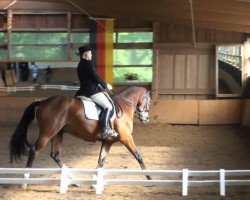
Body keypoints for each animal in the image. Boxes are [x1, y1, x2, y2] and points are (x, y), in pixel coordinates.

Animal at [9, 85, 152, 180]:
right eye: (149, 101)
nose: (146, 119)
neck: (124, 105)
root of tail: (43, 101)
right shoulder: (126, 138)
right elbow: (138, 155)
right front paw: (150, 177)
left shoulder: (108, 141)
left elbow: (101, 161)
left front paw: (94, 182)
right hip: (47, 133)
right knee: (34, 150)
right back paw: (25, 180)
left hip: (58, 134)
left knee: (55, 154)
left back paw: (72, 180)